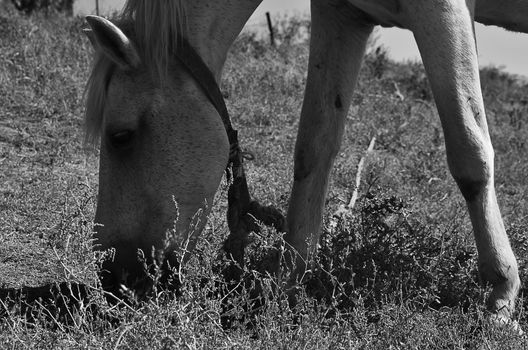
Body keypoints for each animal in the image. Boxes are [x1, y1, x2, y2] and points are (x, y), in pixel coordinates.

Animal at [84, 0, 524, 326]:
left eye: (121, 136)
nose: (114, 280)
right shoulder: (342, 16)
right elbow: (314, 147)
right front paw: (288, 285)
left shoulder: (443, 12)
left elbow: (469, 151)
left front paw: (501, 294)